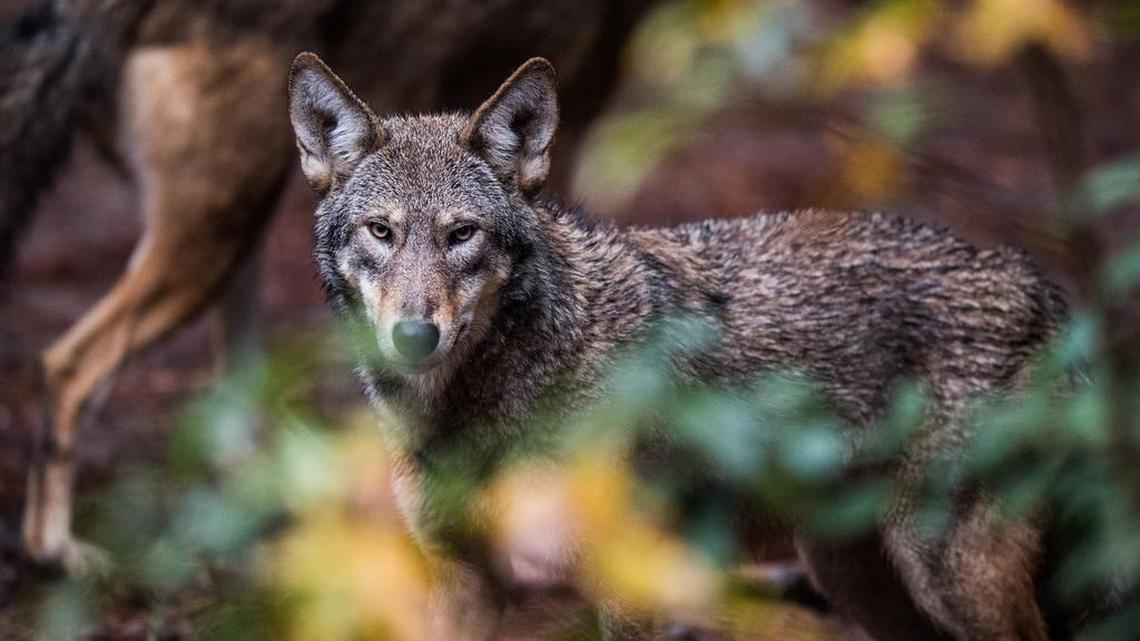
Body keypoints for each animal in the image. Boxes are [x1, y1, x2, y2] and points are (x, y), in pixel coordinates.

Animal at [7, 0, 658, 571]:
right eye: (381, 230)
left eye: (463, 233)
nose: (416, 338)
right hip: (217, 232)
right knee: (66, 364)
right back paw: (56, 550)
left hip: (237, 230)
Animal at [289, 51, 1073, 641]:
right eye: (381, 231)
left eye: (461, 234)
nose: (414, 336)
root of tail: (1037, 280)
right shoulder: (461, 582)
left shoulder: (627, 585)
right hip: (855, 578)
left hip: (951, 578)